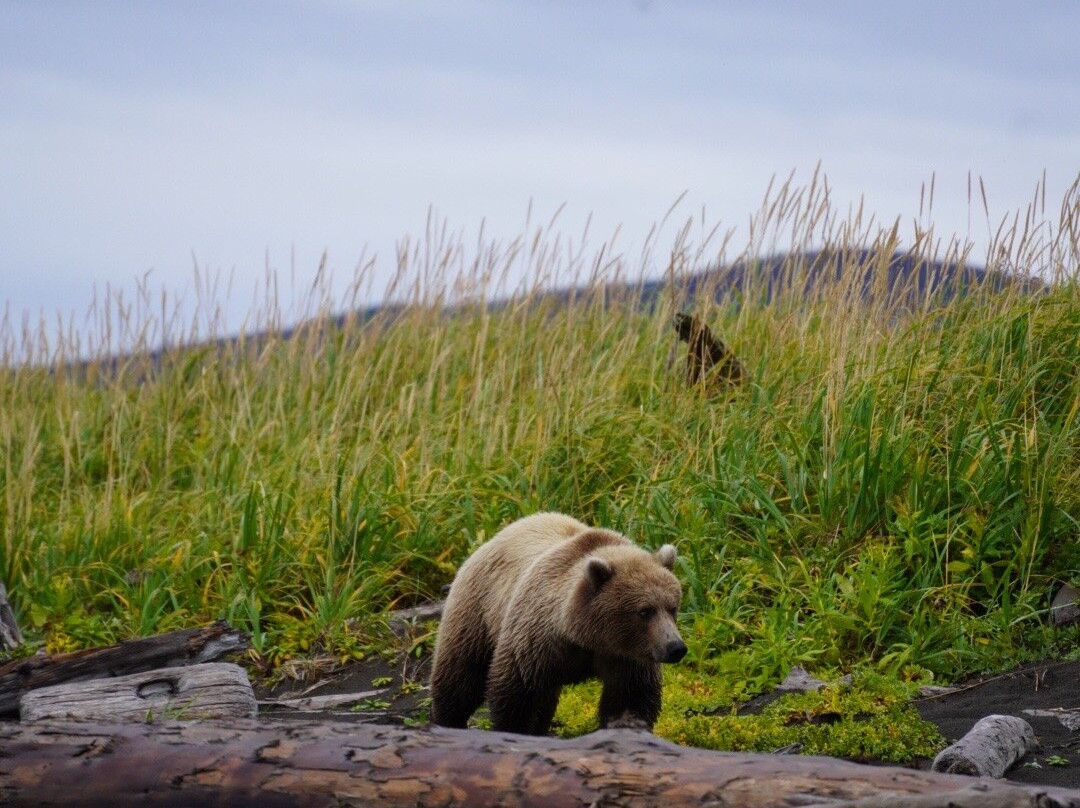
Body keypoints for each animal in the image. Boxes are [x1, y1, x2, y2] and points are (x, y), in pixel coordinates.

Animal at [429, 512, 686, 735]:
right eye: (644, 611)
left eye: (673, 607)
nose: (676, 647)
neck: (583, 634)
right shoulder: (535, 642)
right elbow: (517, 693)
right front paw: (515, 729)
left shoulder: (627, 656)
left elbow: (631, 697)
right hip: (477, 610)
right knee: (461, 675)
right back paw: (447, 720)